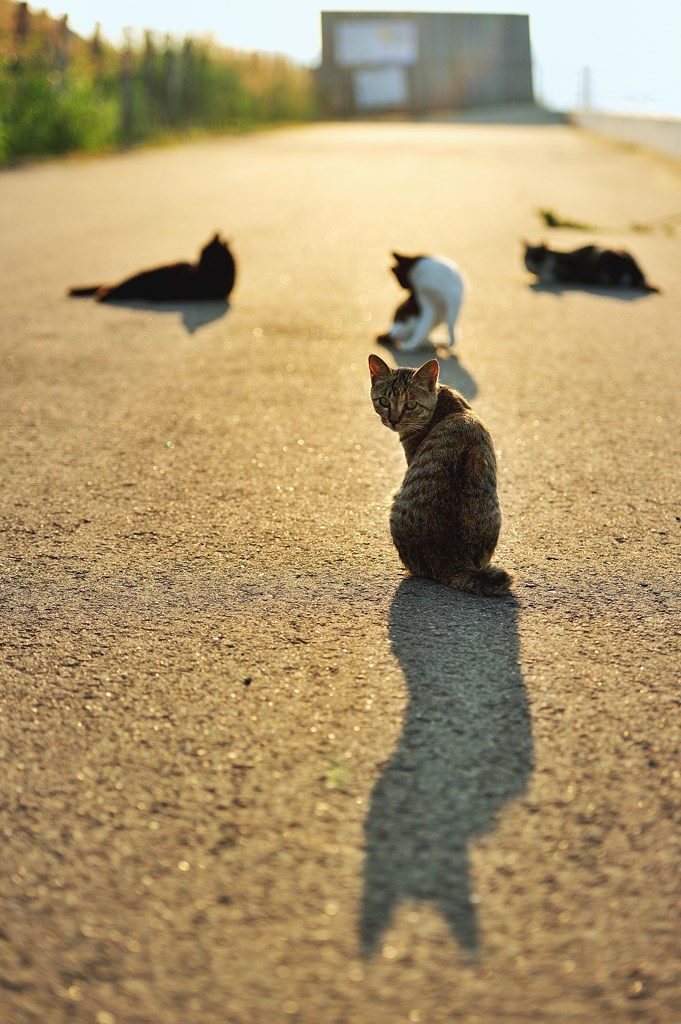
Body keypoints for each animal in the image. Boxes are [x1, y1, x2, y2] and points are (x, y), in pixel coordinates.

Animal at [520, 238, 659, 290]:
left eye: (537, 257)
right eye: (526, 258)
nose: (530, 266)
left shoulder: (557, 273)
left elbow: (546, 277)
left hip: (604, 258)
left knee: (617, 279)